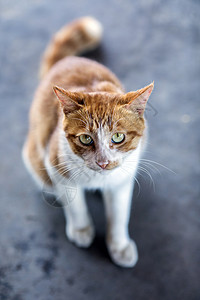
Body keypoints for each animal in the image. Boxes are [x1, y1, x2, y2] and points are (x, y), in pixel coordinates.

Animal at [22, 16, 155, 268]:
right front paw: (81, 230)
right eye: (86, 138)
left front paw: (119, 246)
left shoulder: (123, 179)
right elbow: (75, 205)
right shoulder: (56, 166)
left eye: (118, 137)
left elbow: (119, 215)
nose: (103, 162)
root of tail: (66, 60)